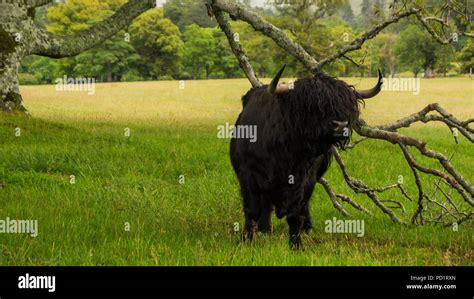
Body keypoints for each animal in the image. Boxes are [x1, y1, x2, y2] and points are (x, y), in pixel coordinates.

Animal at [230, 65, 382, 248]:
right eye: (311, 105)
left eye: (346, 104)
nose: (340, 125)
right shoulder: (248, 175)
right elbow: (252, 210)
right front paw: (247, 239)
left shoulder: (303, 179)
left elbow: (295, 213)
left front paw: (296, 244)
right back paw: (264, 229)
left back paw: (306, 228)